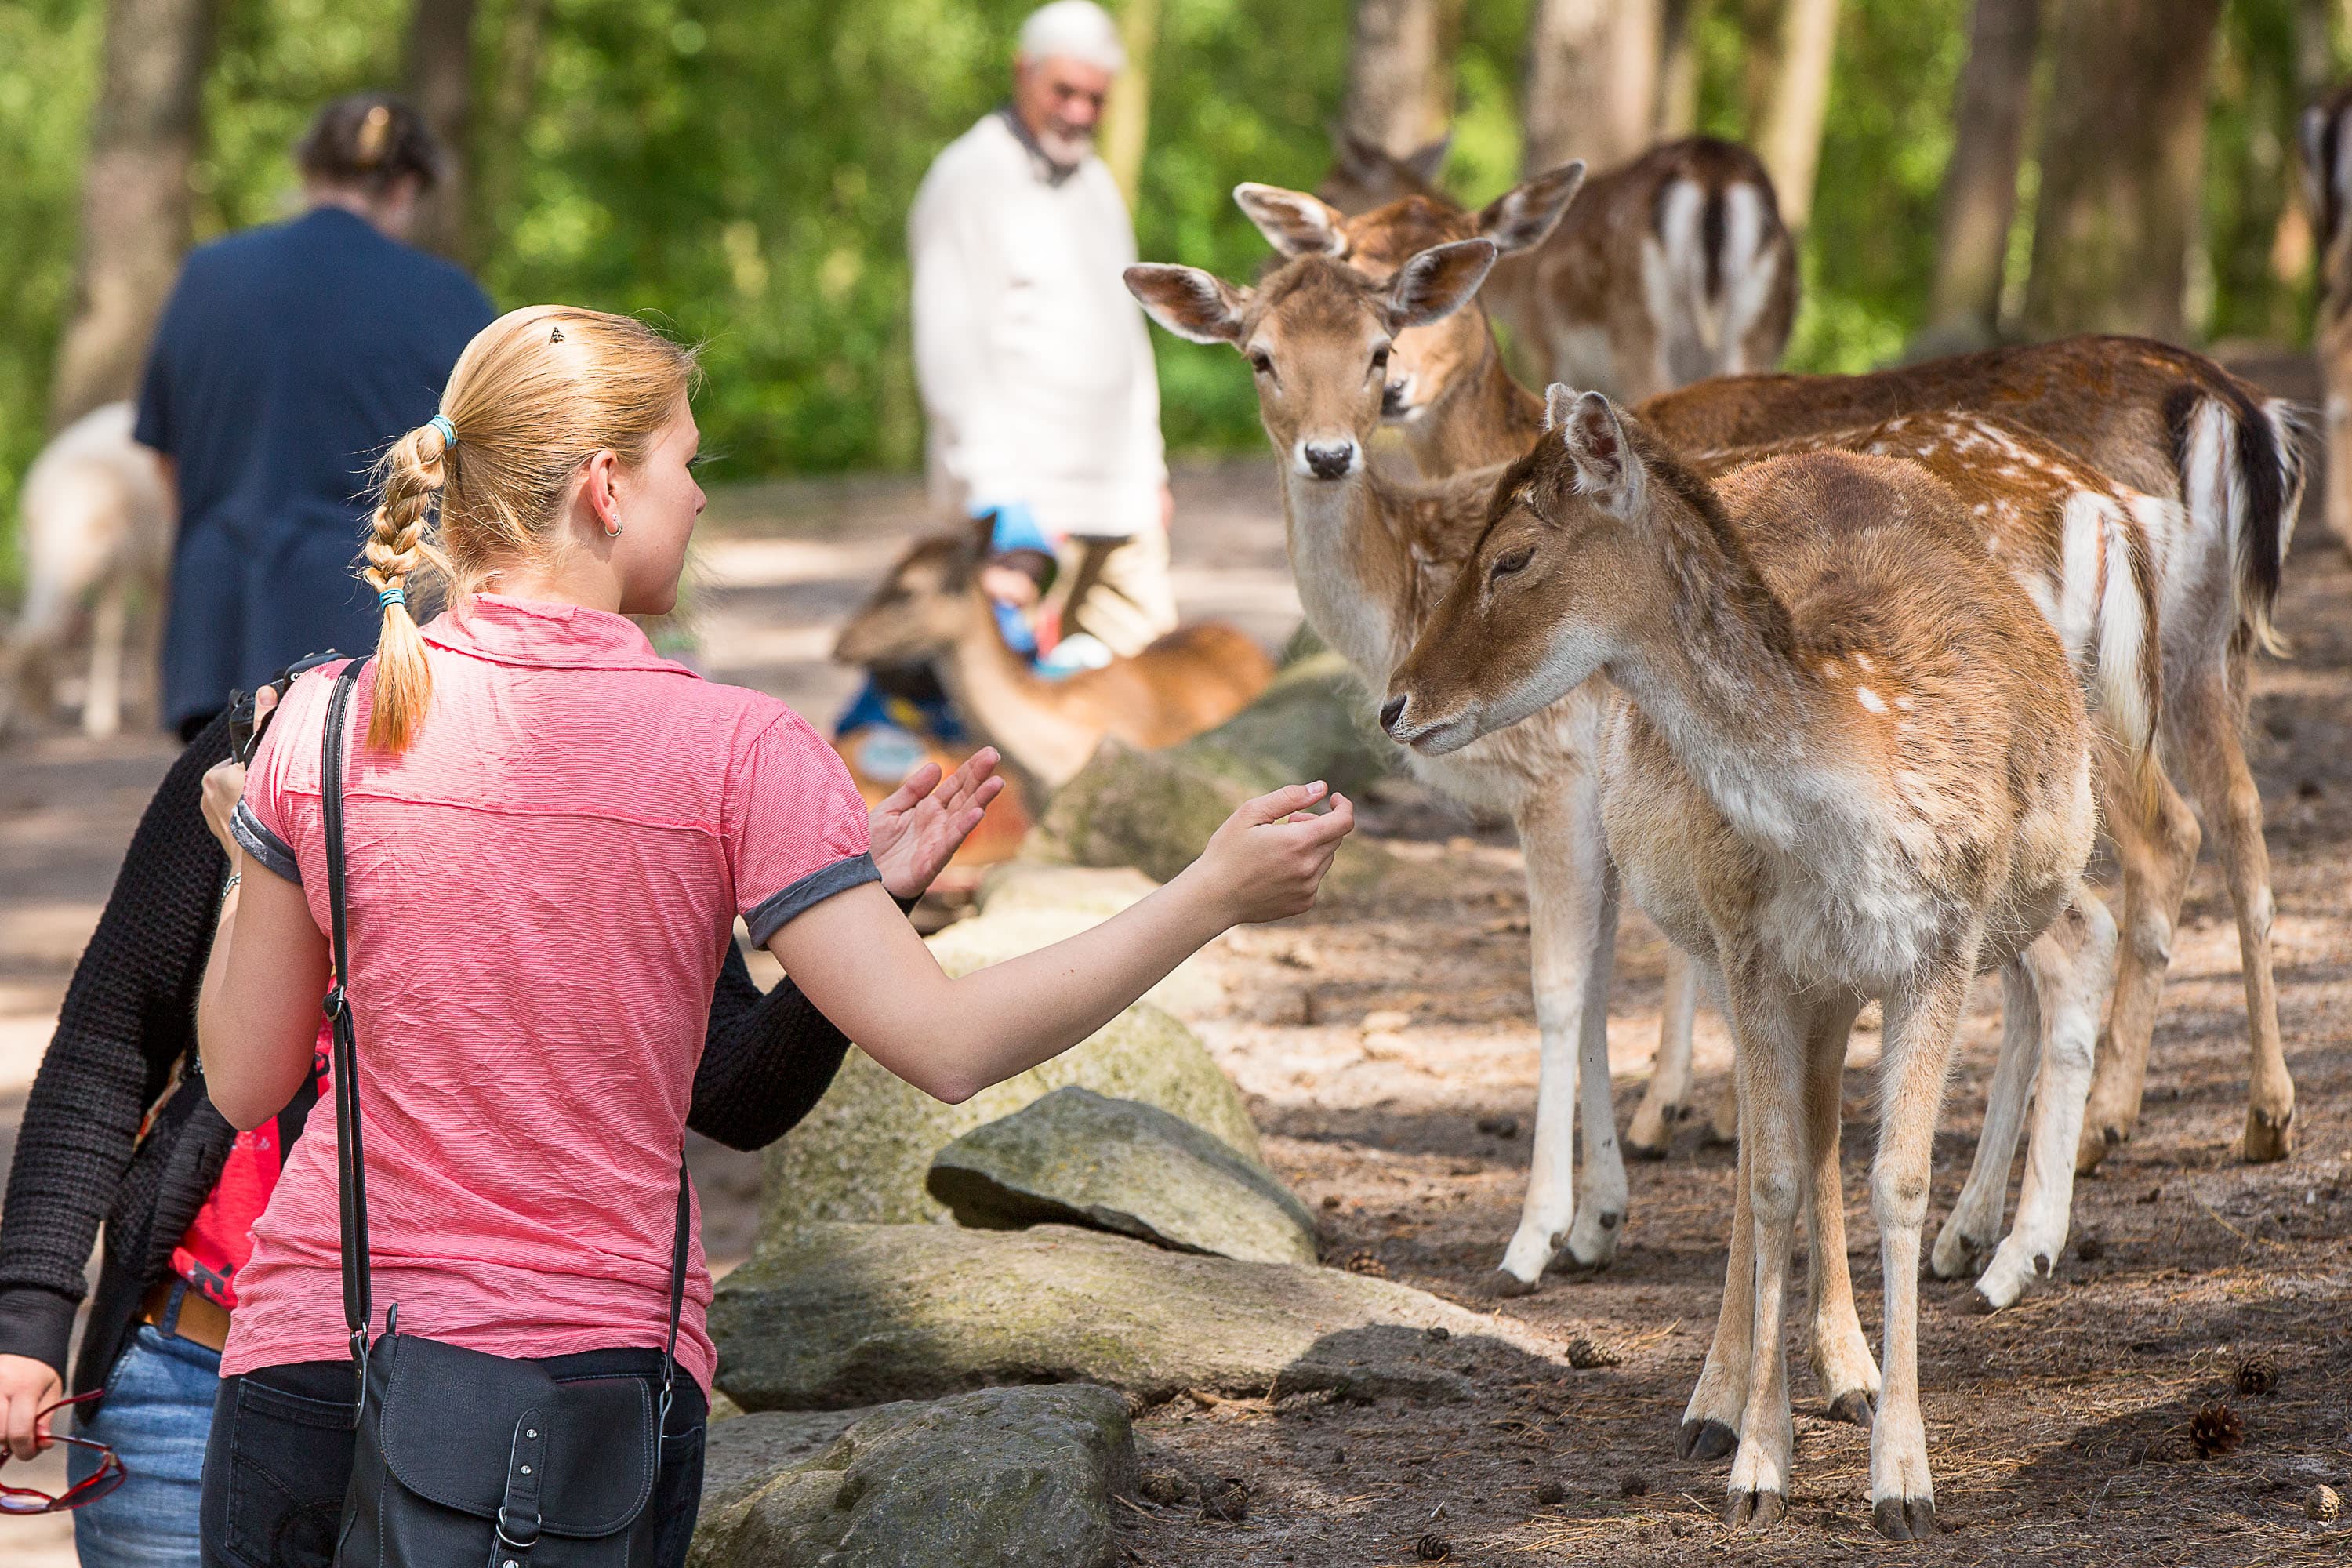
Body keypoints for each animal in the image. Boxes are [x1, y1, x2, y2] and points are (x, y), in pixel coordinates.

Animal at [1374, 385, 2098, 1542]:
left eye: (1514, 557)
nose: (1396, 704)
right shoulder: (1750, 945)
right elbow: (1769, 1177)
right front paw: (1759, 1461)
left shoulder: (1941, 941)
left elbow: (1896, 1177)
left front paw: (1904, 1478)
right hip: (1721, 945)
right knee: (1777, 1137)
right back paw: (1717, 1399)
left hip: (1843, 980)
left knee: (1822, 1117)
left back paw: (1850, 1372)